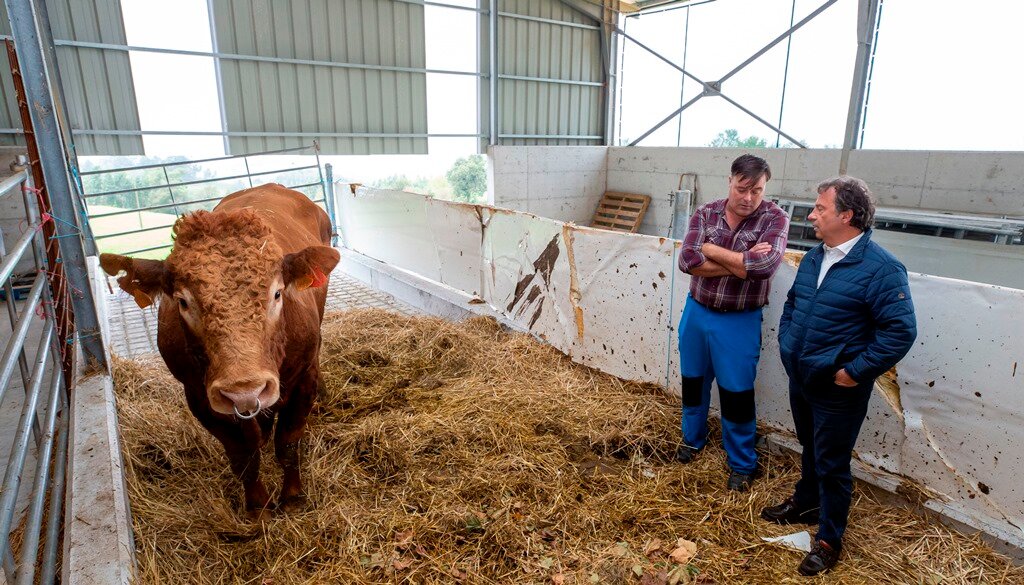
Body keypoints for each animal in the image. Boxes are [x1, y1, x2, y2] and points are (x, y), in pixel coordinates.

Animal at [100, 185, 339, 520]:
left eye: (277, 293)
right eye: (183, 301)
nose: (245, 390)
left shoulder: (304, 379)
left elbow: (288, 445)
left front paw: (292, 497)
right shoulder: (199, 398)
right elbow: (242, 457)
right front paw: (258, 506)